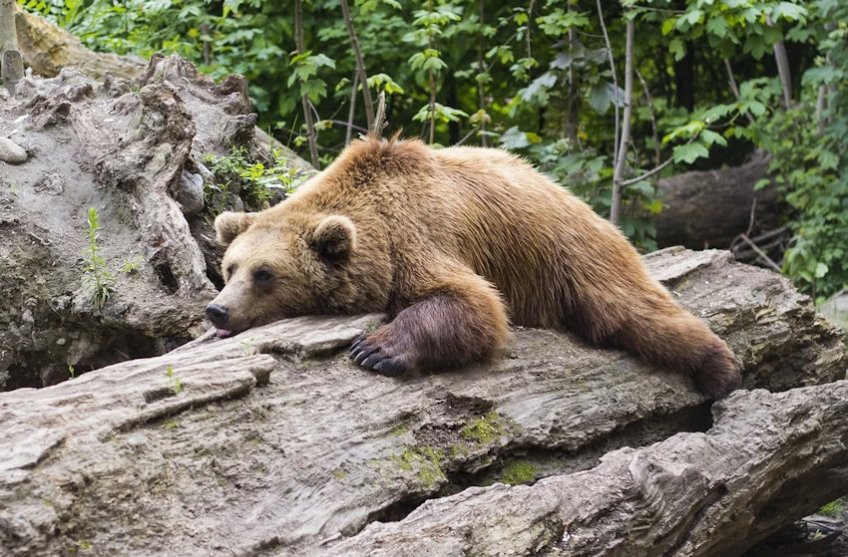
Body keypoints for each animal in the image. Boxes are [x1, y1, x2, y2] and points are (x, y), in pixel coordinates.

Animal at [207, 137, 741, 399]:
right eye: (230, 268)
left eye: (265, 273)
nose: (218, 311)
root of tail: (568, 193)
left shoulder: (419, 237)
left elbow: (472, 303)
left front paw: (375, 349)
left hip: (570, 254)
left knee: (631, 311)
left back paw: (720, 368)